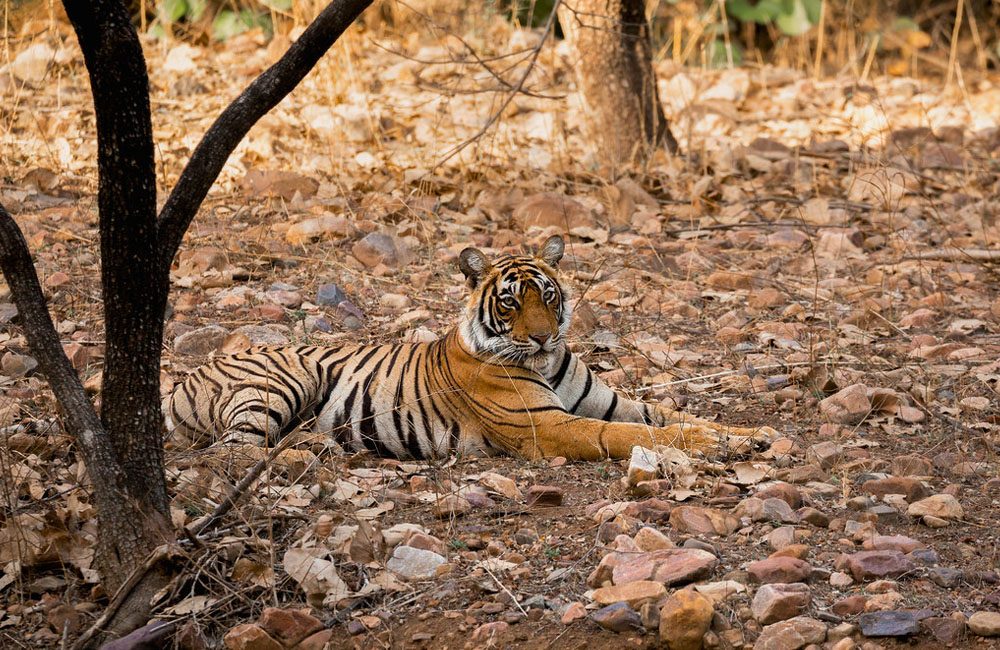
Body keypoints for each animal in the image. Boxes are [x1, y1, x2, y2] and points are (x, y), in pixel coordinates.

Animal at [164, 235, 776, 458]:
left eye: (548, 296)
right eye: (509, 303)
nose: (543, 335)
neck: (548, 362)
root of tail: (179, 380)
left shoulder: (604, 400)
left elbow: (669, 414)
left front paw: (753, 435)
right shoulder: (548, 426)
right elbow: (631, 435)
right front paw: (716, 445)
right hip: (284, 378)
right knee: (233, 452)